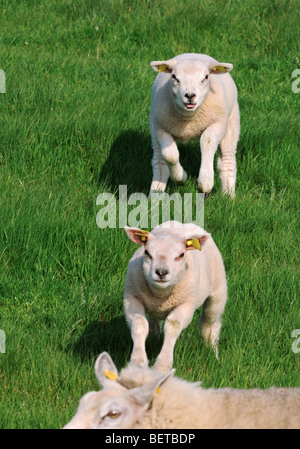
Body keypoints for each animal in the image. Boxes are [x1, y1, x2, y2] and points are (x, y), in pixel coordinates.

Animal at [120, 220, 226, 372]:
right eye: (147, 252)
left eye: (181, 255)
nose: (161, 272)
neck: (162, 293)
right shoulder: (132, 298)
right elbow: (139, 323)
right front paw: (138, 363)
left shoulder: (186, 304)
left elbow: (173, 325)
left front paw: (162, 367)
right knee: (153, 320)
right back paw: (153, 338)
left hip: (218, 291)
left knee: (210, 322)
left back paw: (213, 353)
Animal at [149, 52, 240, 198]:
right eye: (174, 77)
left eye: (206, 77)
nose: (190, 95)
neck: (189, 119)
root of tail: (194, 53)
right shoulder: (160, 128)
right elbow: (170, 155)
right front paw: (181, 177)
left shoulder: (218, 124)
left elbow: (207, 140)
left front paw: (206, 182)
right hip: (154, 127)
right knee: (160, 163)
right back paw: (154, 197)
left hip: (231, 123)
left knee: (227, 161)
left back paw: (228, 197)